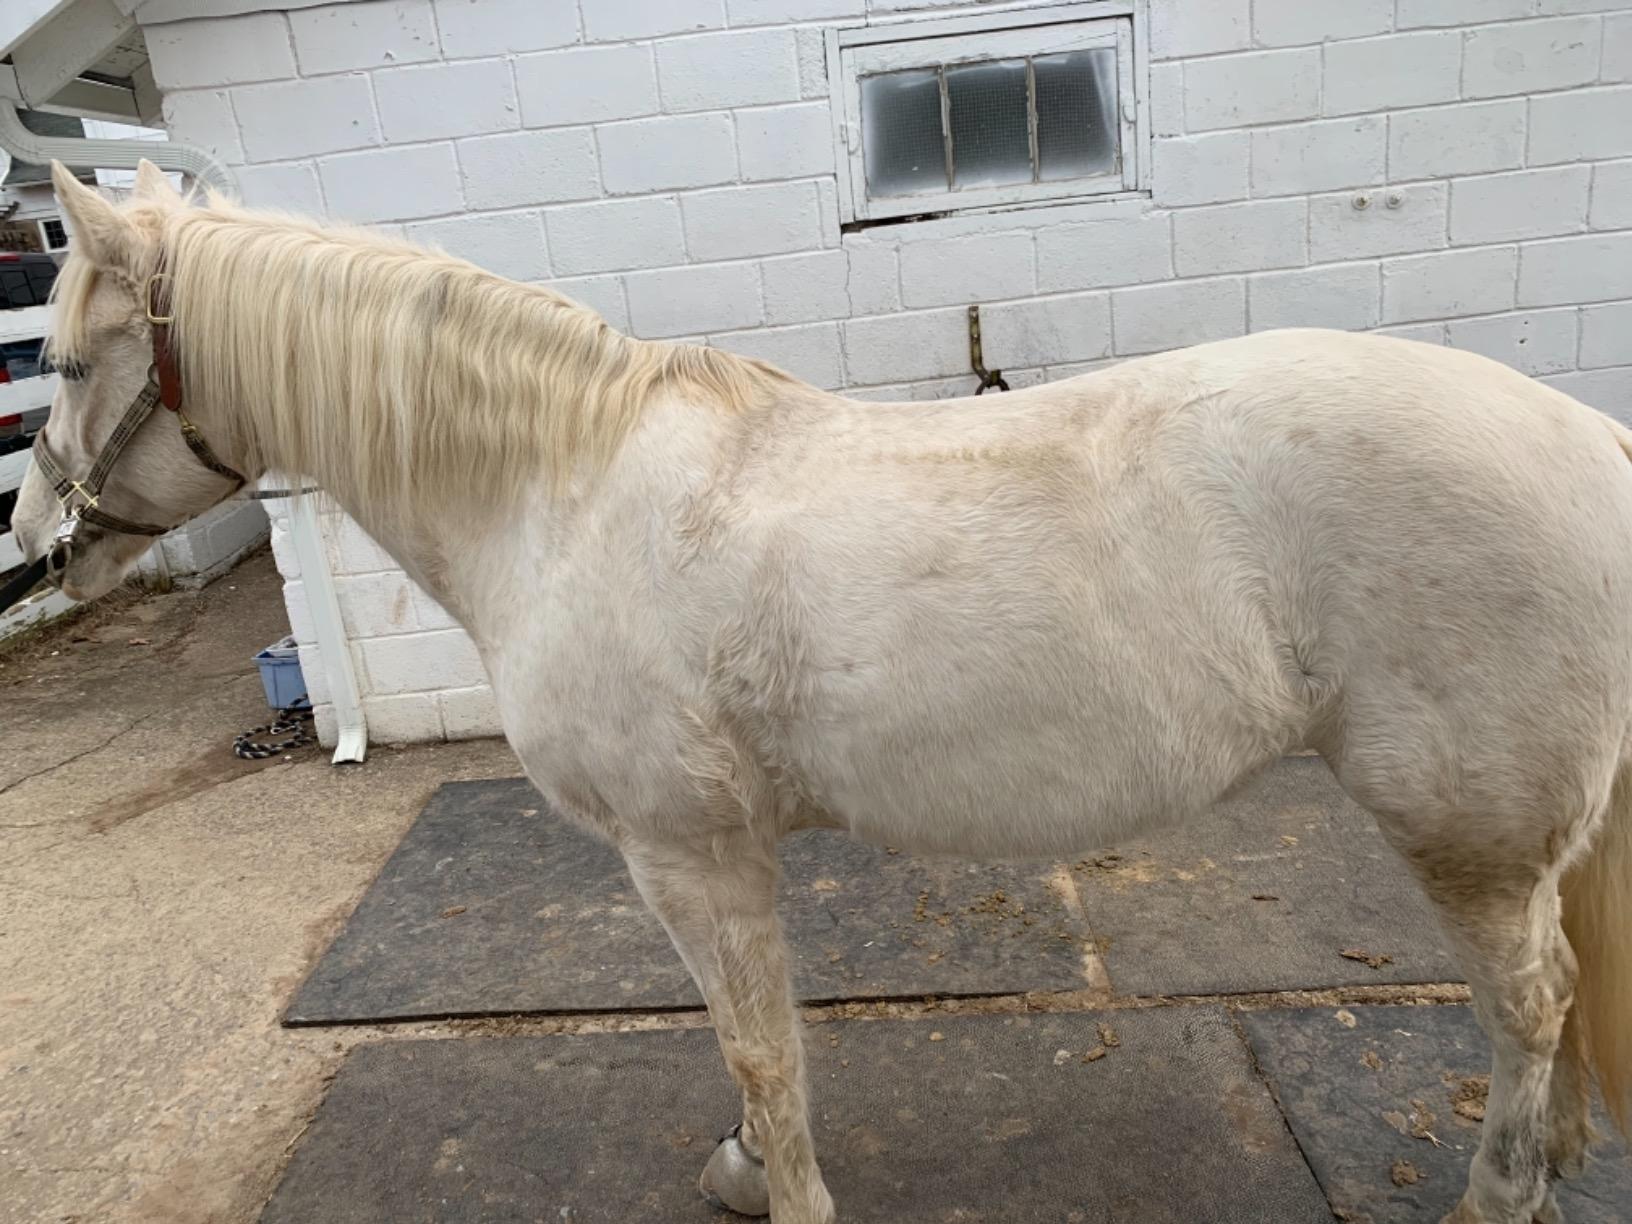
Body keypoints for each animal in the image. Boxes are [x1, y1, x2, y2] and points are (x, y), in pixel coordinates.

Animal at [13, 160, 1630, 1224]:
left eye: (71, 361)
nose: (39, 542)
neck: (563, 490)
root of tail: (1589, 440)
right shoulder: (718, 855)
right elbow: (760, 1039)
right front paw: (744, 1165)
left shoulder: (686, 854)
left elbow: (756, 1040)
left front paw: (776, 1186)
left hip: (1469, 835)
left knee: (1529, 1004)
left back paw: (1497, 1199)